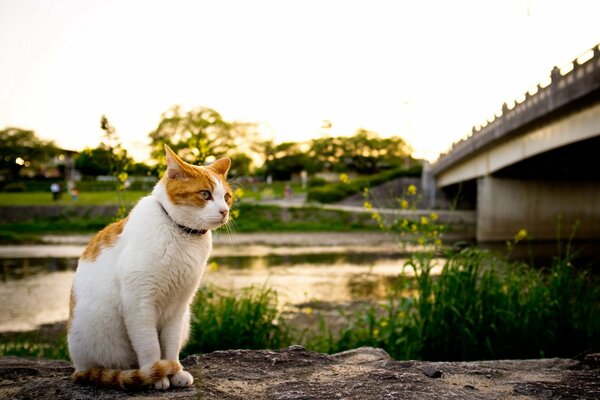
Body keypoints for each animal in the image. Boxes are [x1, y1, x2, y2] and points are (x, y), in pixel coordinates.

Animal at [67, 145, 232, 390]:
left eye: (227, 197)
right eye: (205, 194)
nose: (224, 211)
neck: (181, 234)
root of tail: (78, 368)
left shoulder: (179, 306)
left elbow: (170, 344)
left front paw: (174, 371)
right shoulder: (139, 304)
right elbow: (150, 346)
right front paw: (157, 374)